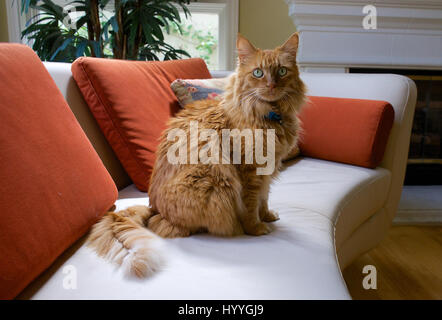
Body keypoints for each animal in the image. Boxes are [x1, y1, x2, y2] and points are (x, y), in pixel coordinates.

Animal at [87, 33, 306, 278]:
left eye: (282, 71)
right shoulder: (249, 171)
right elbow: (251, 205)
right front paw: (256, 228)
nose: (271, 85)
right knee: (168, 227)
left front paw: (267, 215)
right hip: (215, 182)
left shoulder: (269, 170)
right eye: (258, 72)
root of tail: (153, 207)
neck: (269, 116)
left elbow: (264, 198)